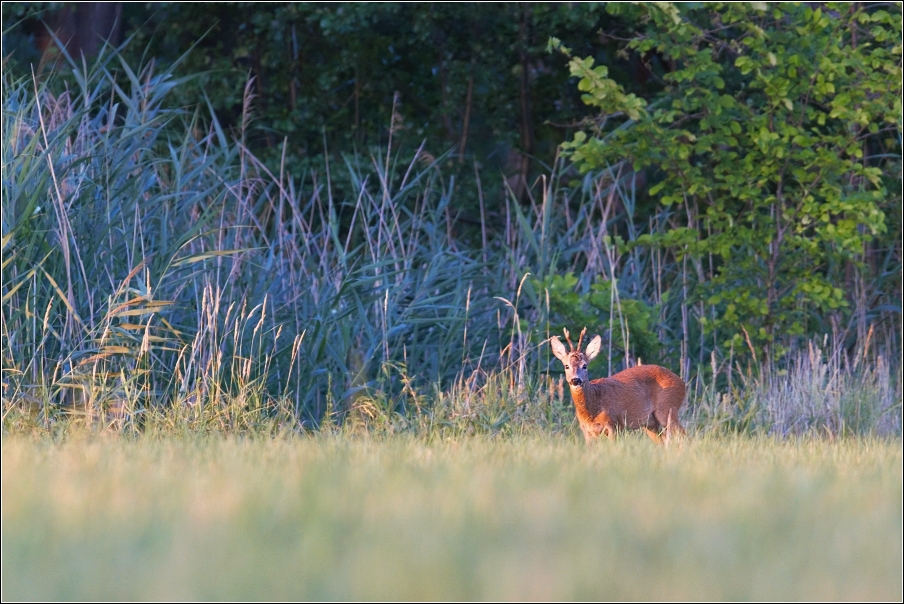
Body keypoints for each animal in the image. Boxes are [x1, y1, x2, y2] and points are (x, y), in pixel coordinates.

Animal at [548, 326, 688, 444]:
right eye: (566, 366)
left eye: (585, 366)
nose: (575, 380)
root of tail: (682, 383)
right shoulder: (587, 431)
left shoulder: (614, 424)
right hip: (650, 423)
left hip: (667, 408)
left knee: (684, 436)